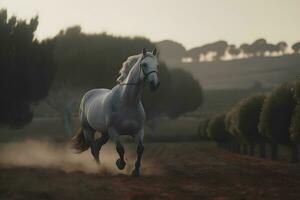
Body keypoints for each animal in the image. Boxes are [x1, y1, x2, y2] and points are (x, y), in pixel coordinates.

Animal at [71, 47, 159, 176]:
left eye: (157, 65)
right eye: (144, 64)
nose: (154, 84)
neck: (127, 102)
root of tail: (87, 95)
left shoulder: (138, 131)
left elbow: (140, 149)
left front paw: (136, 171)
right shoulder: (114, 131)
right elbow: (120, 149)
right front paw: (120, 164)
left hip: (105, 134)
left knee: (97, 147)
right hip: (89, 130)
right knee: (93, 148)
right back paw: (100, 169)